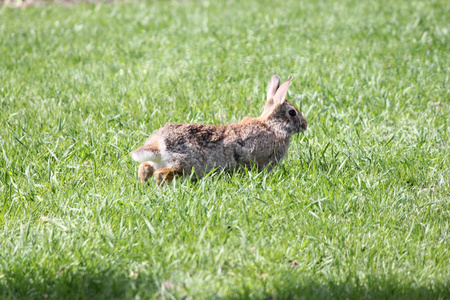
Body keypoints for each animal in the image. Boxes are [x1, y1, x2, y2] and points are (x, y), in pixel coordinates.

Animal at [130, 75, 306, 184]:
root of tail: (159, 144)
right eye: (292, 112)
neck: (272, 126)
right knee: (161, 174)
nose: (305, 125)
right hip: (184, 163)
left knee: (144, 167)